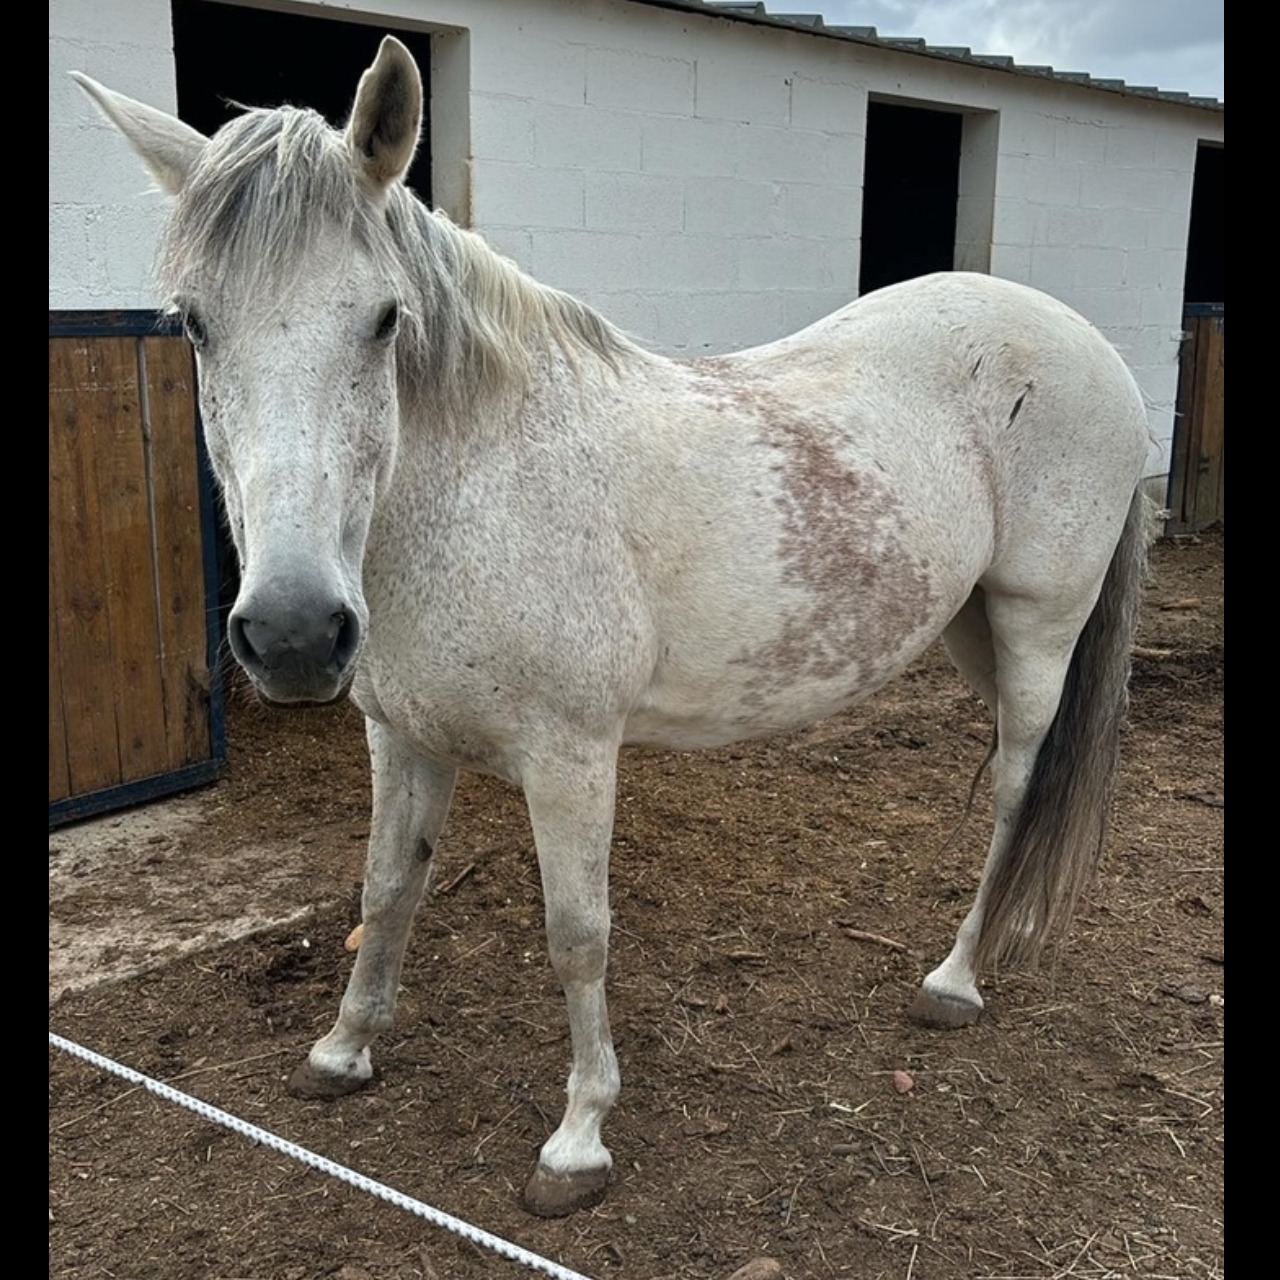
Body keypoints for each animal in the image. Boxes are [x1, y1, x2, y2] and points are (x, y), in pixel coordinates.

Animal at [74, 37, 1152, 1218]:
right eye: (193, 322)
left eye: (384, 318)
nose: (297, 632)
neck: (476, 491)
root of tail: (1081, 339)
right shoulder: (400, 736)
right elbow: (385, 888)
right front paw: (343, 1050)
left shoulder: (571, 755)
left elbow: (576, 935)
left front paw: (578, 1138)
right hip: (966, 625)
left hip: (1037, 623)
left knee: (1016, 783)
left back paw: (956, 977)